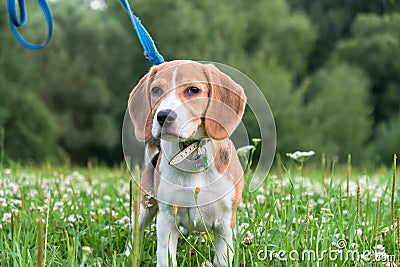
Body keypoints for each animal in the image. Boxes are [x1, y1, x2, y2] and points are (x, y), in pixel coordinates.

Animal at [130, 59, 245, 266]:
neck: (191, 151)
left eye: (193, 90)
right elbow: (165, 258)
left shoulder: (225, 222)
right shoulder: (166, 219)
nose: (163, 116)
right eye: (156, 90)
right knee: (136, 232)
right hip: (144, 207)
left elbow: (222, 259)